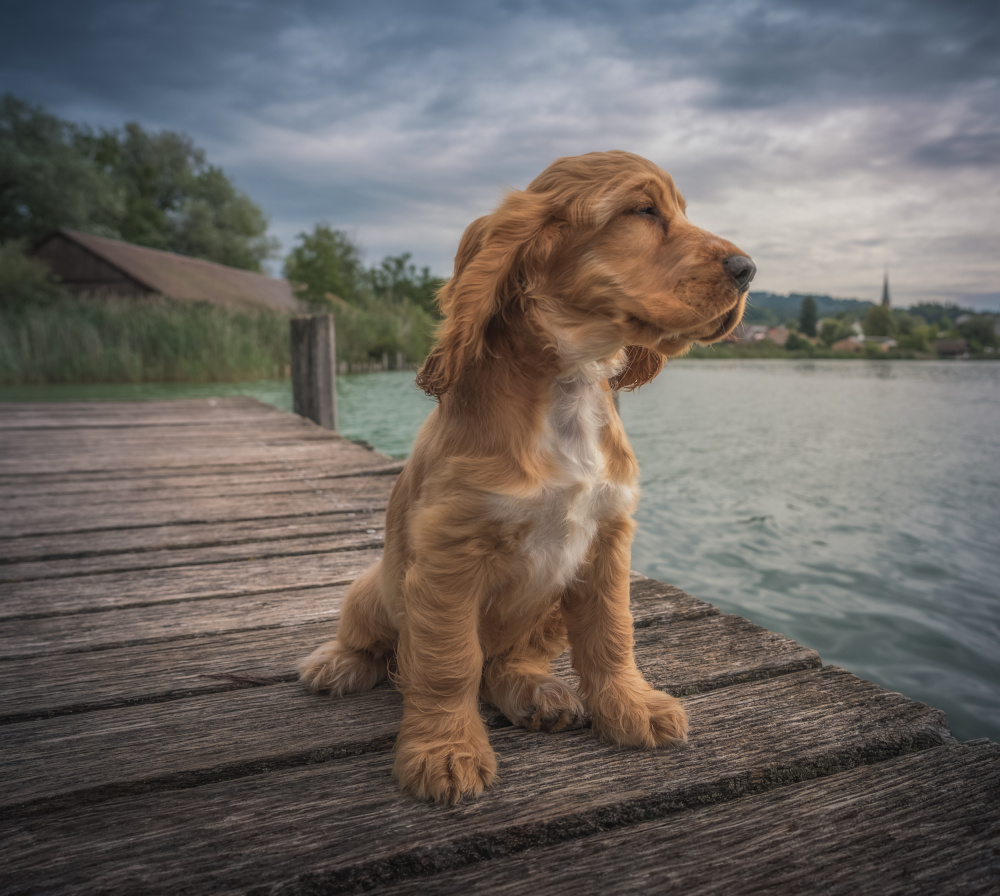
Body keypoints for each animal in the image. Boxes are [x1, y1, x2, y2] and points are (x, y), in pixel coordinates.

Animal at [300, 150, 752, 800]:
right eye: (642, 211)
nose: (749, 269)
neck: (566, 380)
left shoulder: (607, 543)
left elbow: (612, 635)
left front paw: (631, 709)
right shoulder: (448, 556)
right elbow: (448, 662)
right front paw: (445, 751)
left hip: (549, 611)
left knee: (503, 662)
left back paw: (536, 693)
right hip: (373, 587)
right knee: (381, 648)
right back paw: (336, 663)